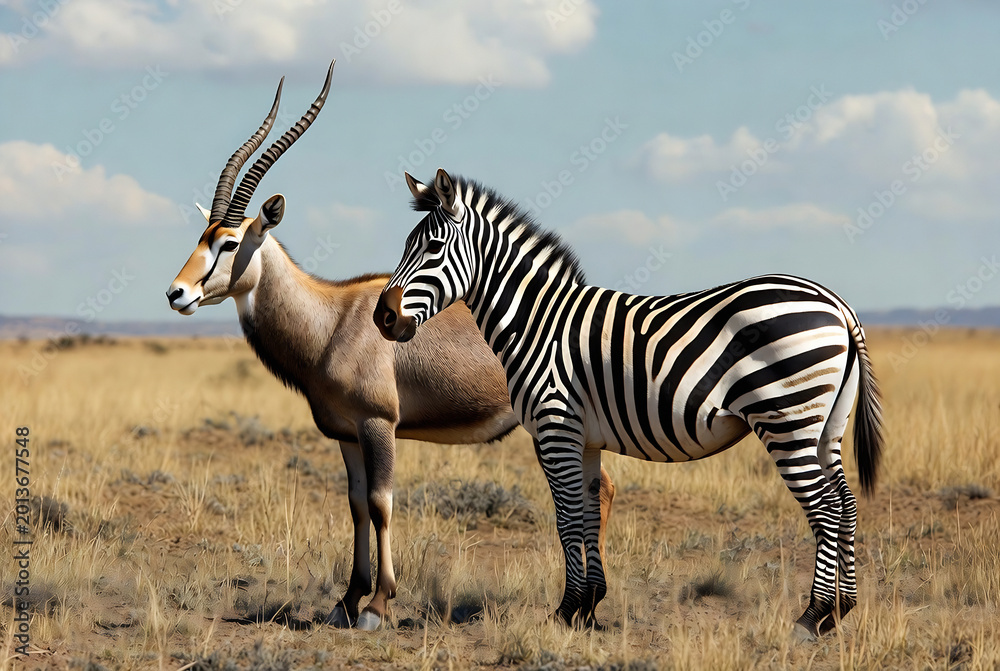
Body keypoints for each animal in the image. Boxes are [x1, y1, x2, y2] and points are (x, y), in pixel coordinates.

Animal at [373, 169, 884, 637]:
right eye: (406, 246)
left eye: (433, 247)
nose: (383, 317)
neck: (539, 321)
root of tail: (836, 304)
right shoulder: (584, 438)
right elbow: (588, 514)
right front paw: (589, 607)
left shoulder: (554, 426)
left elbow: (566, 519)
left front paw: (565, 610)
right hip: (825, 427)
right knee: (846, 503)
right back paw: (842, 610)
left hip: (787, 421)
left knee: (825, 508)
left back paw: (812, 616)